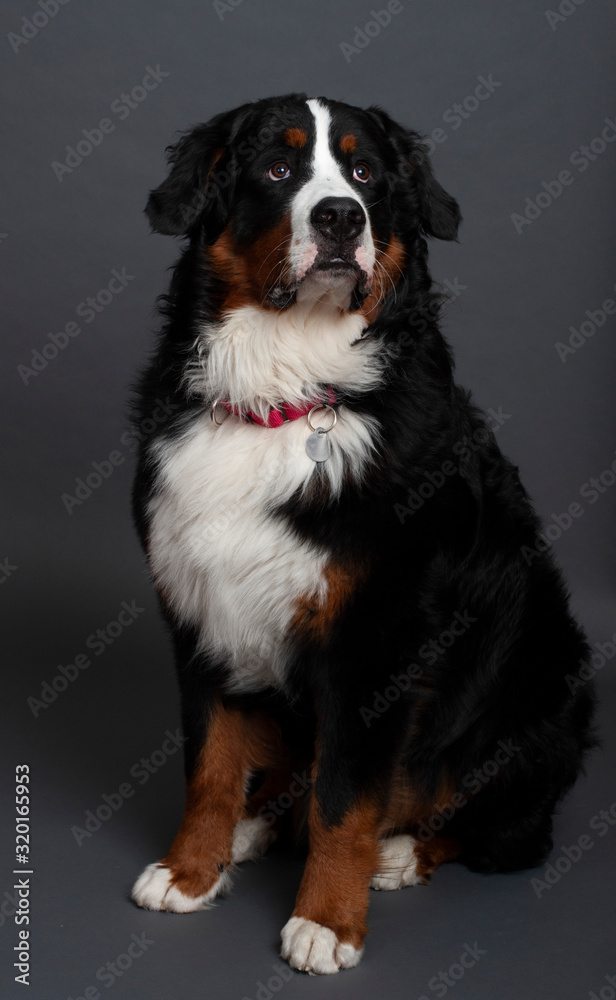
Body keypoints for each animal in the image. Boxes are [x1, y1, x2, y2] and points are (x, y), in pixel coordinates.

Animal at [129, 92, 596, 968]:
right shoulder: (200, 609)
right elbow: (209, 767)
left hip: (542, 688)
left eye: (367, 174)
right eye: (278, 168)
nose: (342, 217)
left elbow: (345, 799)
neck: (286, 397)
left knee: (507, 833)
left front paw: (326, 920)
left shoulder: (378, 638)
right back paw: (254, 826)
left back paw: (402, 852)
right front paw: (190, 871)